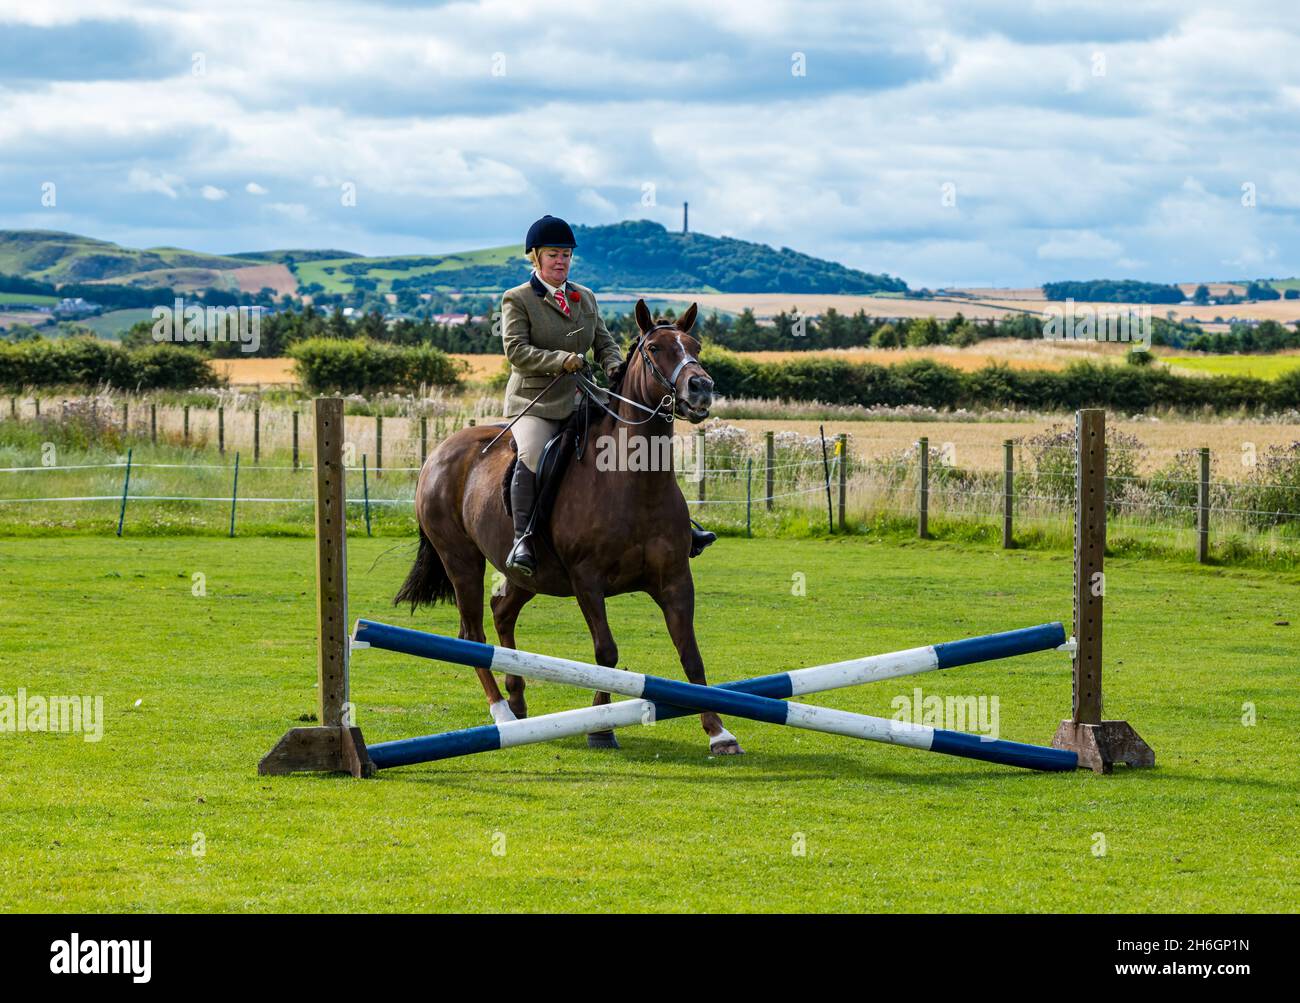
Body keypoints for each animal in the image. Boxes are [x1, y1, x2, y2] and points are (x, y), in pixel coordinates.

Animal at [392, 297, 743, 753]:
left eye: (695, 346)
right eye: (656, 349)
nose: (700, 387)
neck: (634, 482)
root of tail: (438, 453)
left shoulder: (676, 580)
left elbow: (691, 654)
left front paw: (719, 732)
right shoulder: (586, 579)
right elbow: (606, 653)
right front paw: (601, 727)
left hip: (527, 574)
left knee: (502, 613)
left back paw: (518, 700)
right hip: (461, 561)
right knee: (472, 635)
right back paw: (501, 712)